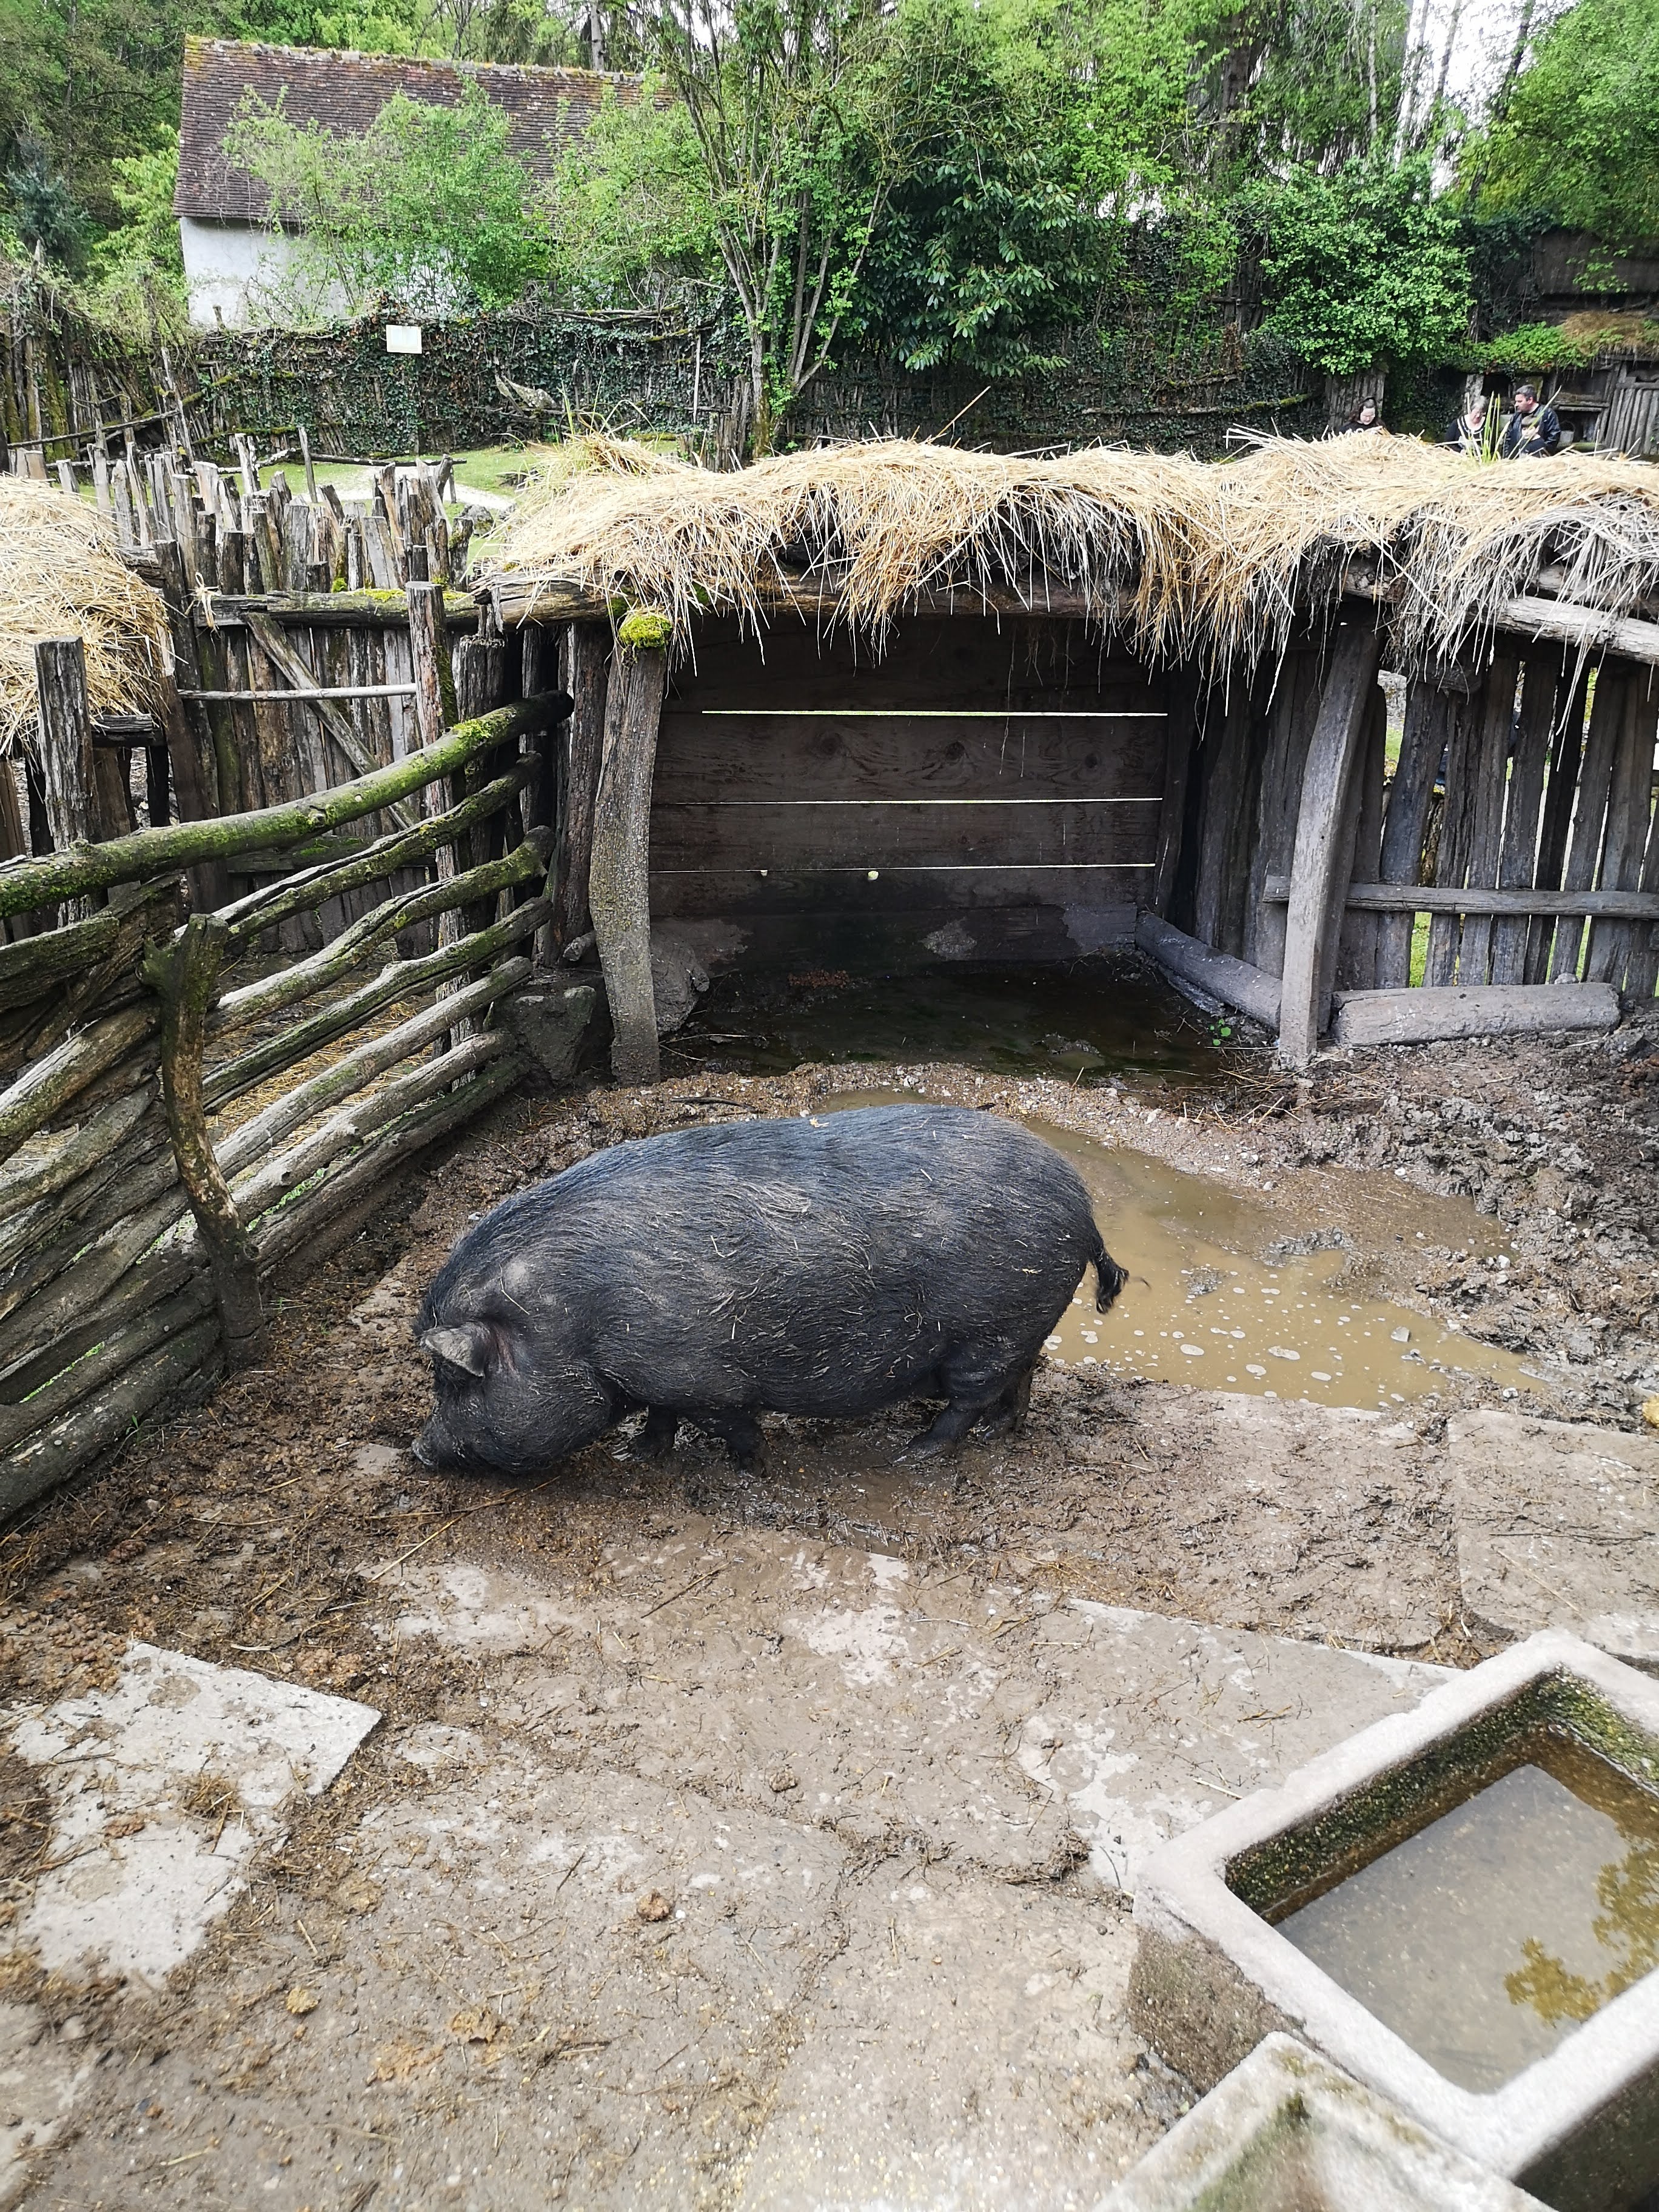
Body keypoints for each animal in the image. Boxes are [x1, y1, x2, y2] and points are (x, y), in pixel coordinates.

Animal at [413, 1103, 1125, 1476]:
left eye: (455, 1380)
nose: (419, 1449)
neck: (570, 1321)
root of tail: (1085, 1213)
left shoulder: (702, 1379)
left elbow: (732, 1424)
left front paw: (750, 1468)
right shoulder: (657, 1377)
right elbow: (660, 1415)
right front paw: (642, 1455)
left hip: (992, 1328)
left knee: (969, 1399)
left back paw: (914, 1452)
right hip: (1020, 1325)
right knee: (1022, 1376)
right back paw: (1002, 1432)